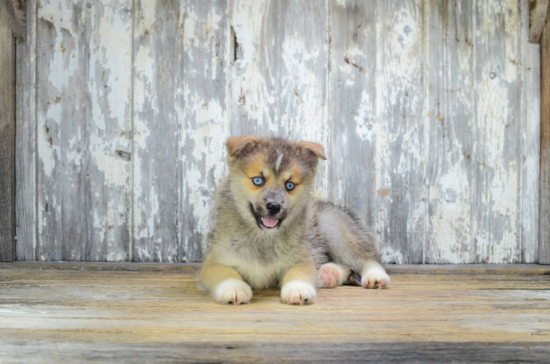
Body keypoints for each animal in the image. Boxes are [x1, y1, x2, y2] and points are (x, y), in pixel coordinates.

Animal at [202, 136, 392, 304]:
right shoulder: (215, 261)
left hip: (335, 229)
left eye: (290, 185)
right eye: (258, 180)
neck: (263, 237)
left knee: (365, 259)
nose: (274, 206)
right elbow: (226, 274)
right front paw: (234, 289)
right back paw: (328, 274)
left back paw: (375, 276)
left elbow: (299, 274)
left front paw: (298, 290)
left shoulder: (301, 258)